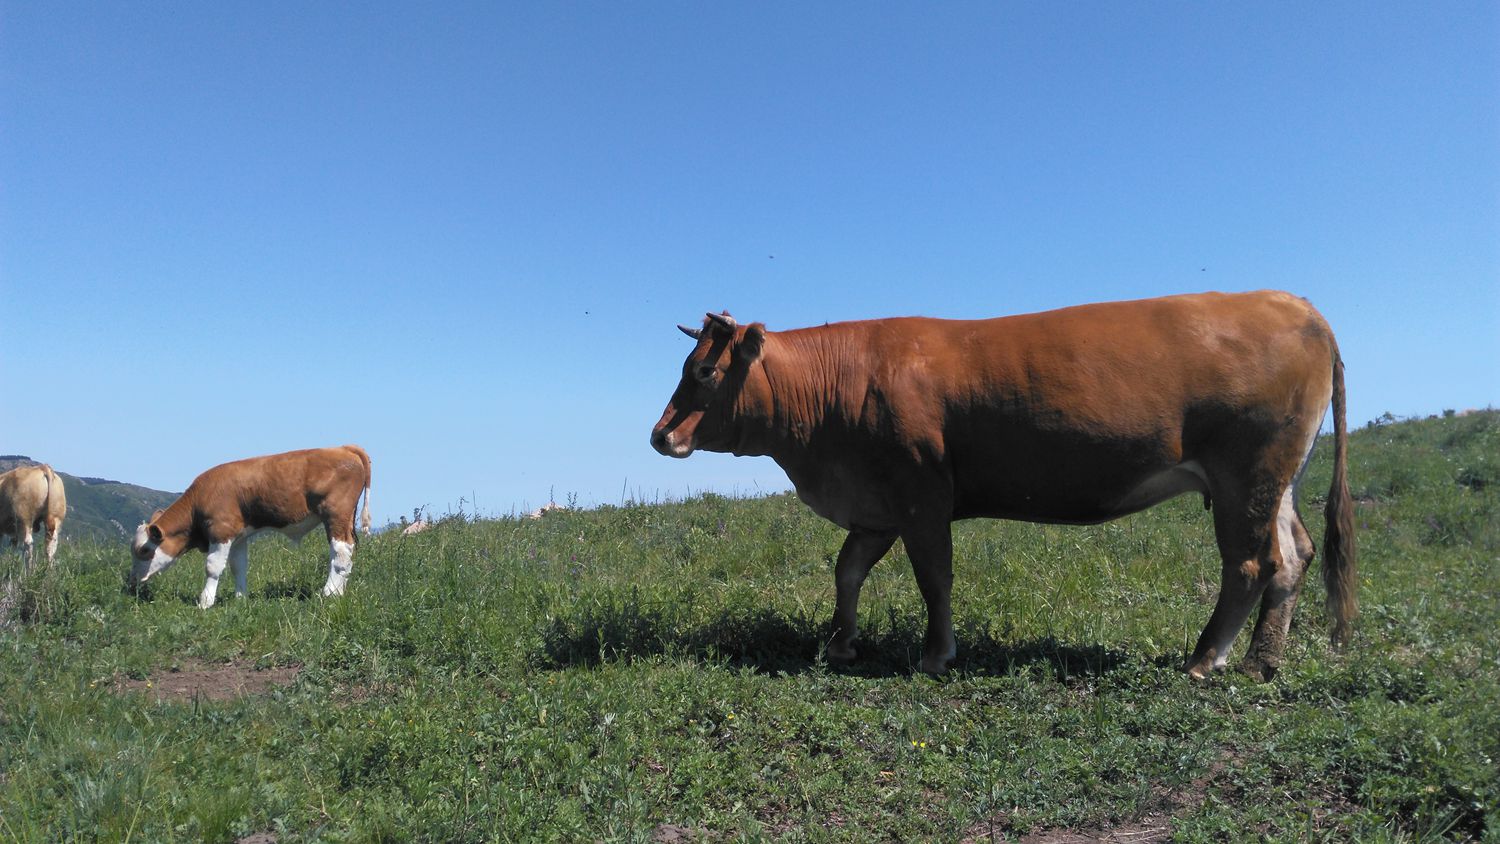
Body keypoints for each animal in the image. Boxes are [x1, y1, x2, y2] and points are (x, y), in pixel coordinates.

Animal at [132, 446, 372, 611]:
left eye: (145, 550)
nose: (132, 580)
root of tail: (343, 447)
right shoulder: (239, 537)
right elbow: (238, 566)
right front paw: (240, 599)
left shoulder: (221, 531)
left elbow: (212, 567)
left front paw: (205, 602)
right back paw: (339, 592)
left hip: (335, 516)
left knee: (340, 553)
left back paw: (329, 593)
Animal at [651, 290, 1356, 680]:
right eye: (688, 364)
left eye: (707, 372)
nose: (660, 436)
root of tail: (1293, 302)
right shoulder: (876, 506)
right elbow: (847, 571)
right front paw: (841, 643)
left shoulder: (921, 495)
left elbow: (934, 577)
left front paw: (935, 655)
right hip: (1278, 482)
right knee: (1293, 555)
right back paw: (1264, 661)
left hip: (1246, 476)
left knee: (1249, 563)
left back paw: (1206, 659)